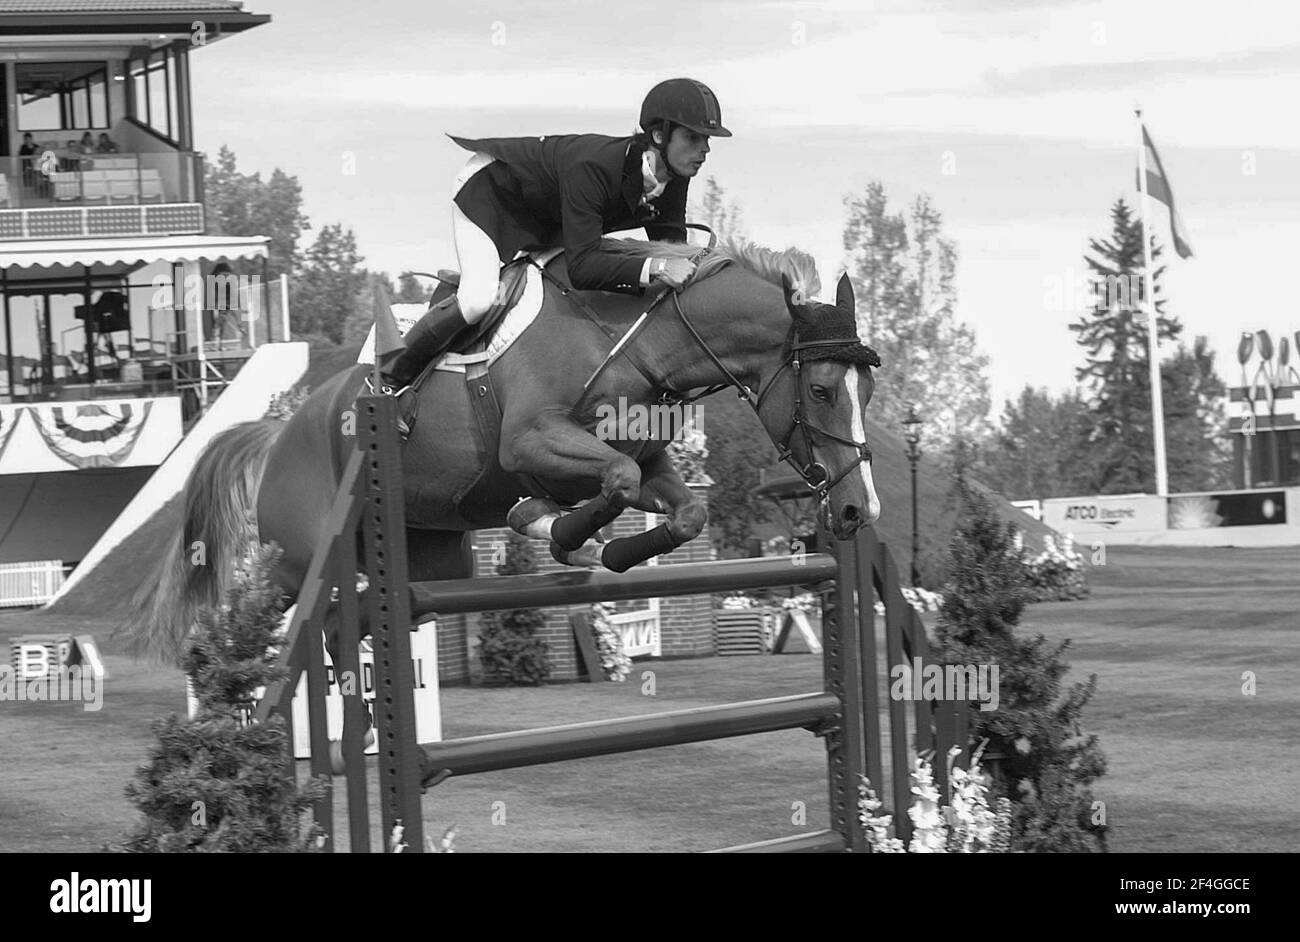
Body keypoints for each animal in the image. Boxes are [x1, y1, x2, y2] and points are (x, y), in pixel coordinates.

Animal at [126, 235, 883, 665]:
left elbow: (676, 507)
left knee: (349, 625)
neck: (638, 340)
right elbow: (609, 481)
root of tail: (281, 430)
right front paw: (555, 529)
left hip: (431, 559)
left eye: (868, 389)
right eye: (821, 390)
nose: (856, 511)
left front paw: (602, 549)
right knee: (264, 616)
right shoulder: (531, 443)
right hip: (298, 560)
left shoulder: (651, 463)